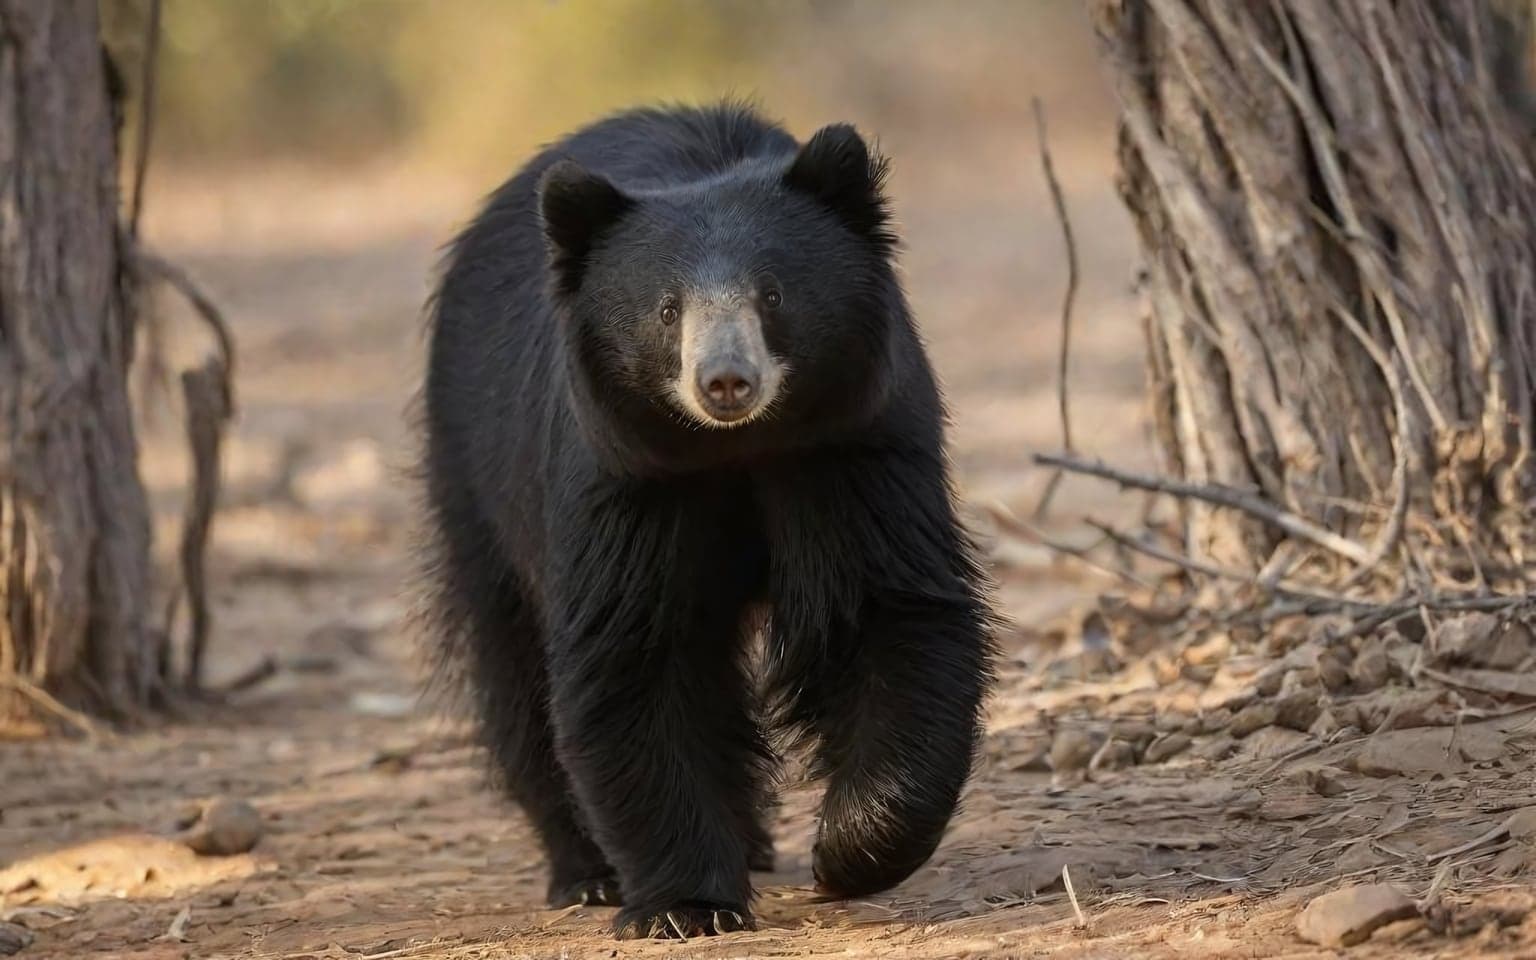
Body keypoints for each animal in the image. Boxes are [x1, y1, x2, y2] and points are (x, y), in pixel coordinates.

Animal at [417, 101, 994, 940]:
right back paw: (585, 872)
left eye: (773, 295)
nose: (725, 382)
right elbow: (635, 658)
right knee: (513, 670)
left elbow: (888, 612)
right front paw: (685, 905)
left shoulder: (857, 446)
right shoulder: (627, 483)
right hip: (476, 481)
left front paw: (851, 851)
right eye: (666, 310)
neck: (736, 449)